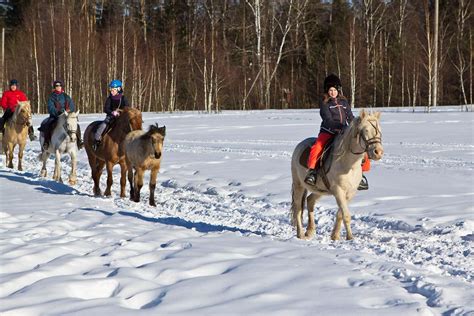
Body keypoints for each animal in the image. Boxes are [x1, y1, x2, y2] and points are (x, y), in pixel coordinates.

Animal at [288, 110, 386, 241]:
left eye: (379, 130)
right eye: (365, 130)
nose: (378, 152)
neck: (349, 164)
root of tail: (300, 145)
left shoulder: (349, 193)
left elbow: (340, 214)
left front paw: (335, 236)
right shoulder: (338, 190)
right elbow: (346, 215)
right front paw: (350, 237)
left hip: (320, 190)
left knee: (310, 201)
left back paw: (310, 231)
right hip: (298, 185)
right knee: (298, 208)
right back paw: (300, 234)